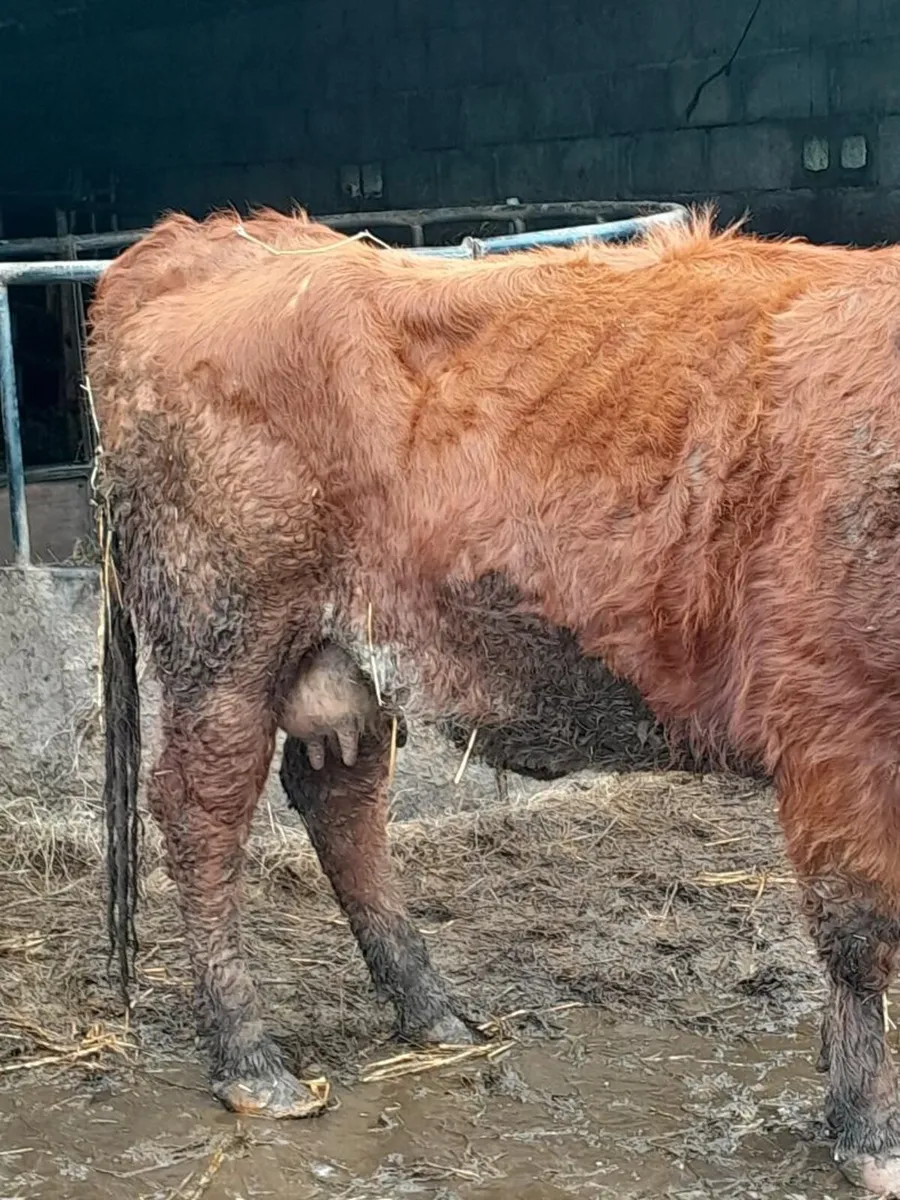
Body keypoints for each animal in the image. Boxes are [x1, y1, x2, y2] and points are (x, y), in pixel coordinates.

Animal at [88, 205, 900, 1196]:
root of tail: (217, 240)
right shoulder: (838, 724)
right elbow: (862, 933)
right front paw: (870, 1132)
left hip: (348, 659)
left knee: (340, 804)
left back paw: (432, 1012)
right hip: (225, 644)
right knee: (201, 820)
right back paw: (251, 1062)